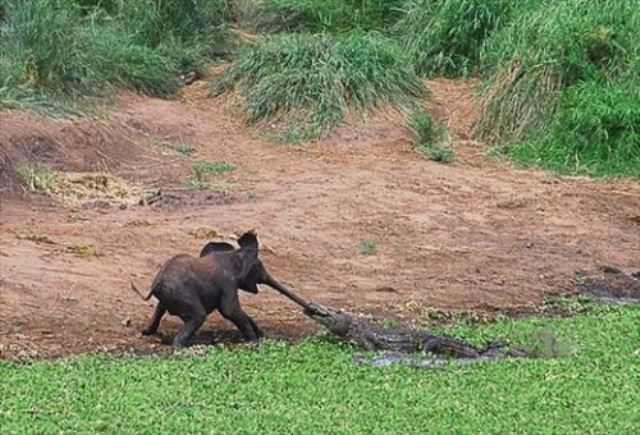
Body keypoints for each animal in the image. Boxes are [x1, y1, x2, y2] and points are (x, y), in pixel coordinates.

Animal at [132, 232, 264, 348]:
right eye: (258, 266)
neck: (233, 254)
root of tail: (157, 282)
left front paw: (260, 336)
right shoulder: (227, 282)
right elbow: (229, 310)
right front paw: (254, 342)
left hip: (170, 294)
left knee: (161, 308)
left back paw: (147, 333)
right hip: (181, 293)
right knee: (199, 315)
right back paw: (180, 347)